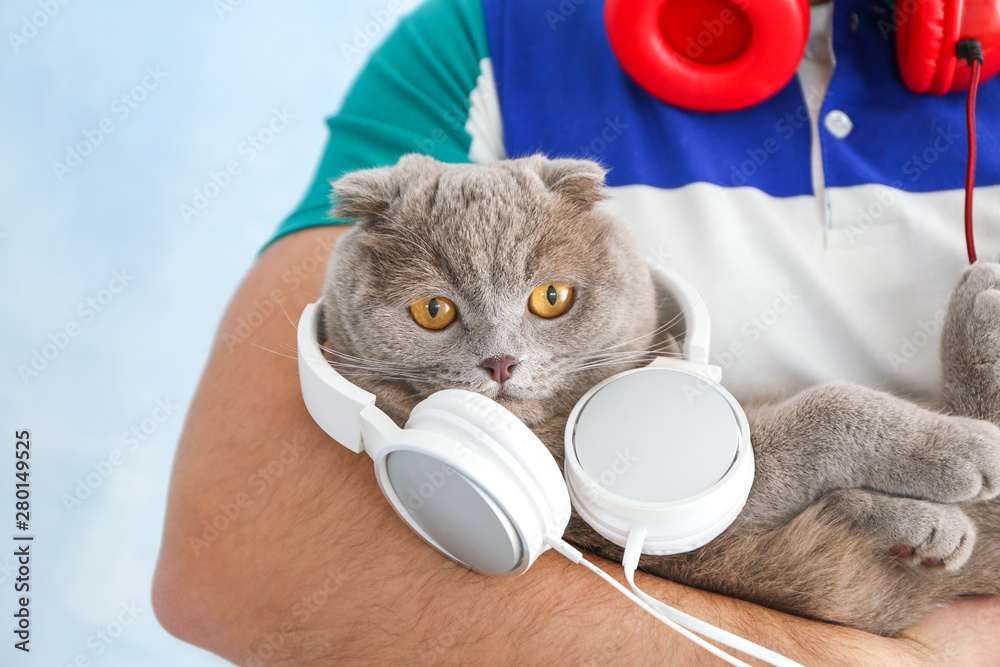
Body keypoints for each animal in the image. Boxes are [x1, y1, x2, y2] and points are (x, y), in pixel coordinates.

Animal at [316, 153, 1000, 636]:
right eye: (433, 310)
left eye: (551, 297)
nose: (501, 361)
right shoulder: (680, 520)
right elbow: (828, 411)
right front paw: (957, 464)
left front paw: (924, 530)